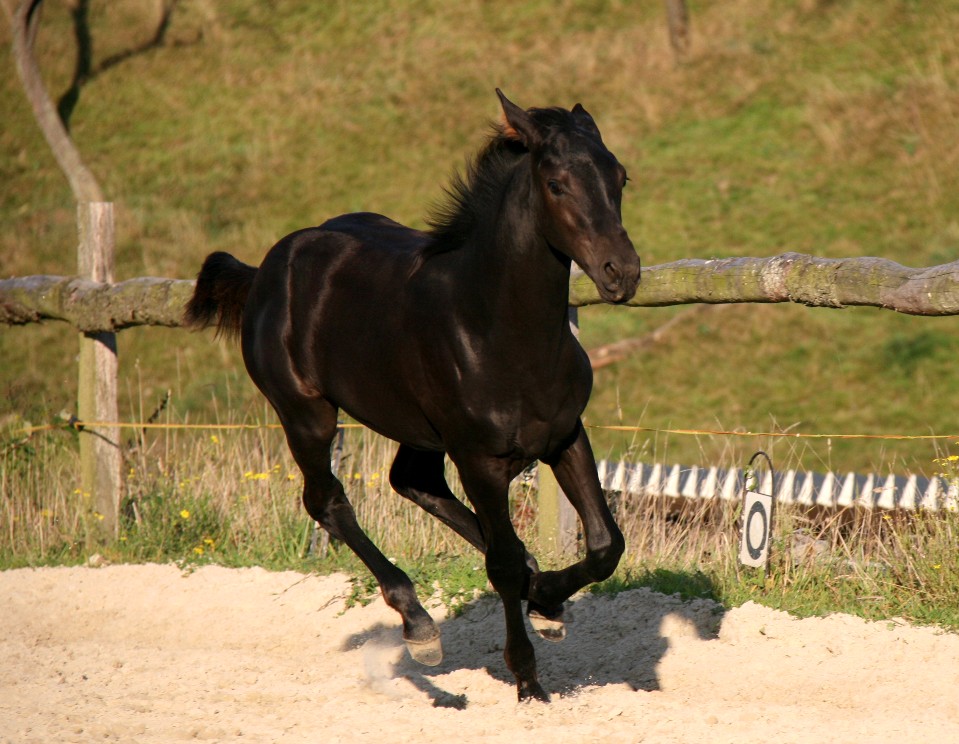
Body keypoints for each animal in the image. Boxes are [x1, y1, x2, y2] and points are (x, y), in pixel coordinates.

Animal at [186, 90, 636, 700]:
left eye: (620, 176)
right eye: (556, 184)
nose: (623, 272)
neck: (497, 328)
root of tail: (264, 272)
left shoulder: (565, 437)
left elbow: (604, 545)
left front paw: (546, 601)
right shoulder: (480, 459)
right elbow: (501, 565)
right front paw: (526, 677)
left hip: (416, 427)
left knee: (412, 481)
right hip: (306, 414)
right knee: (327, 500)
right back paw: (419, 624)